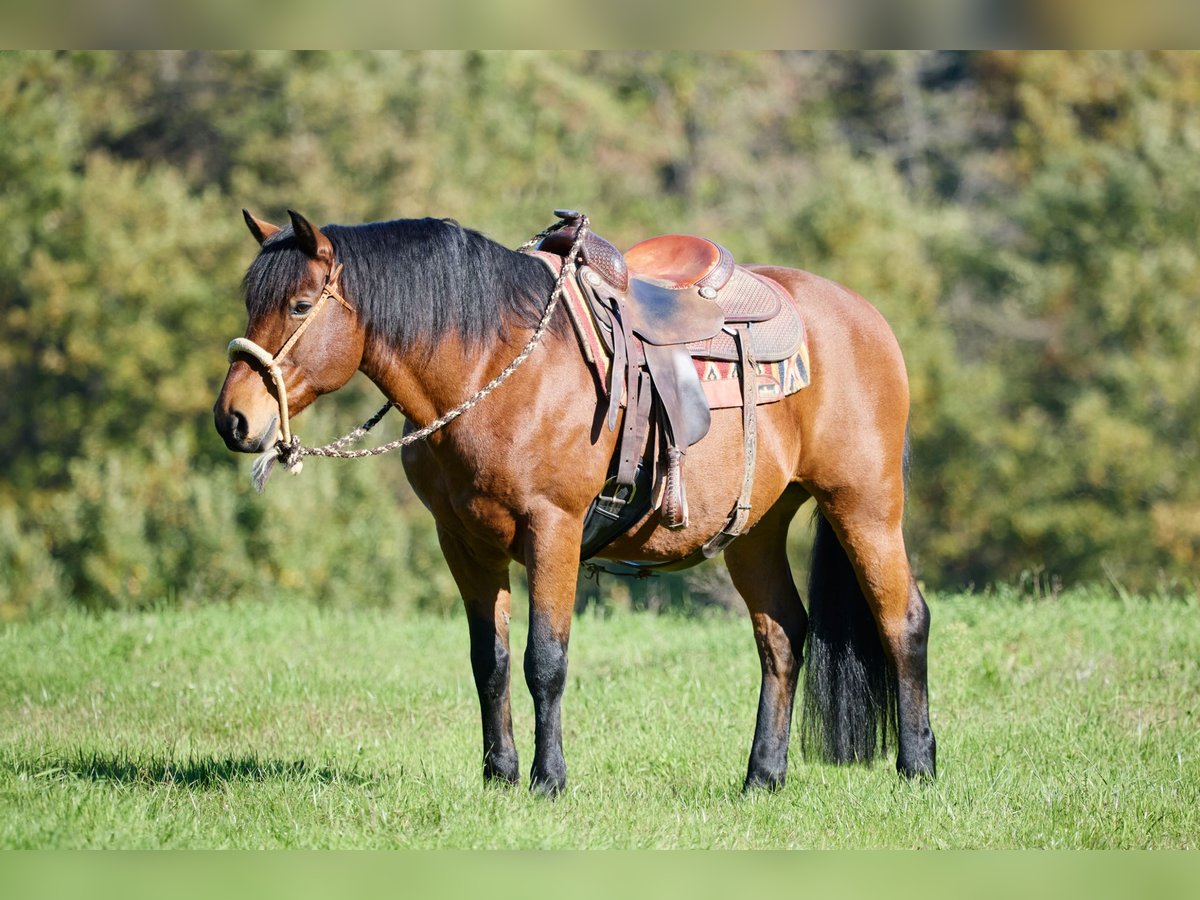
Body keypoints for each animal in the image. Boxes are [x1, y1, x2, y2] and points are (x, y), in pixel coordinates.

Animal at [211, 207, 931, 792]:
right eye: (250, 303)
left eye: (300, 305)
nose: (233, 419)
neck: (494, 366)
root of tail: (863, 316)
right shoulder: (464, 542)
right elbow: (491, 661)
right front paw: (499, 775)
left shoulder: (552, 530)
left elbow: (545, 661)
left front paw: (547, 779)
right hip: (753, 530)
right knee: (781, 636)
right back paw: (763, 777)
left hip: (864, 505)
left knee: (903, 621)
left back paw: (917, 765)